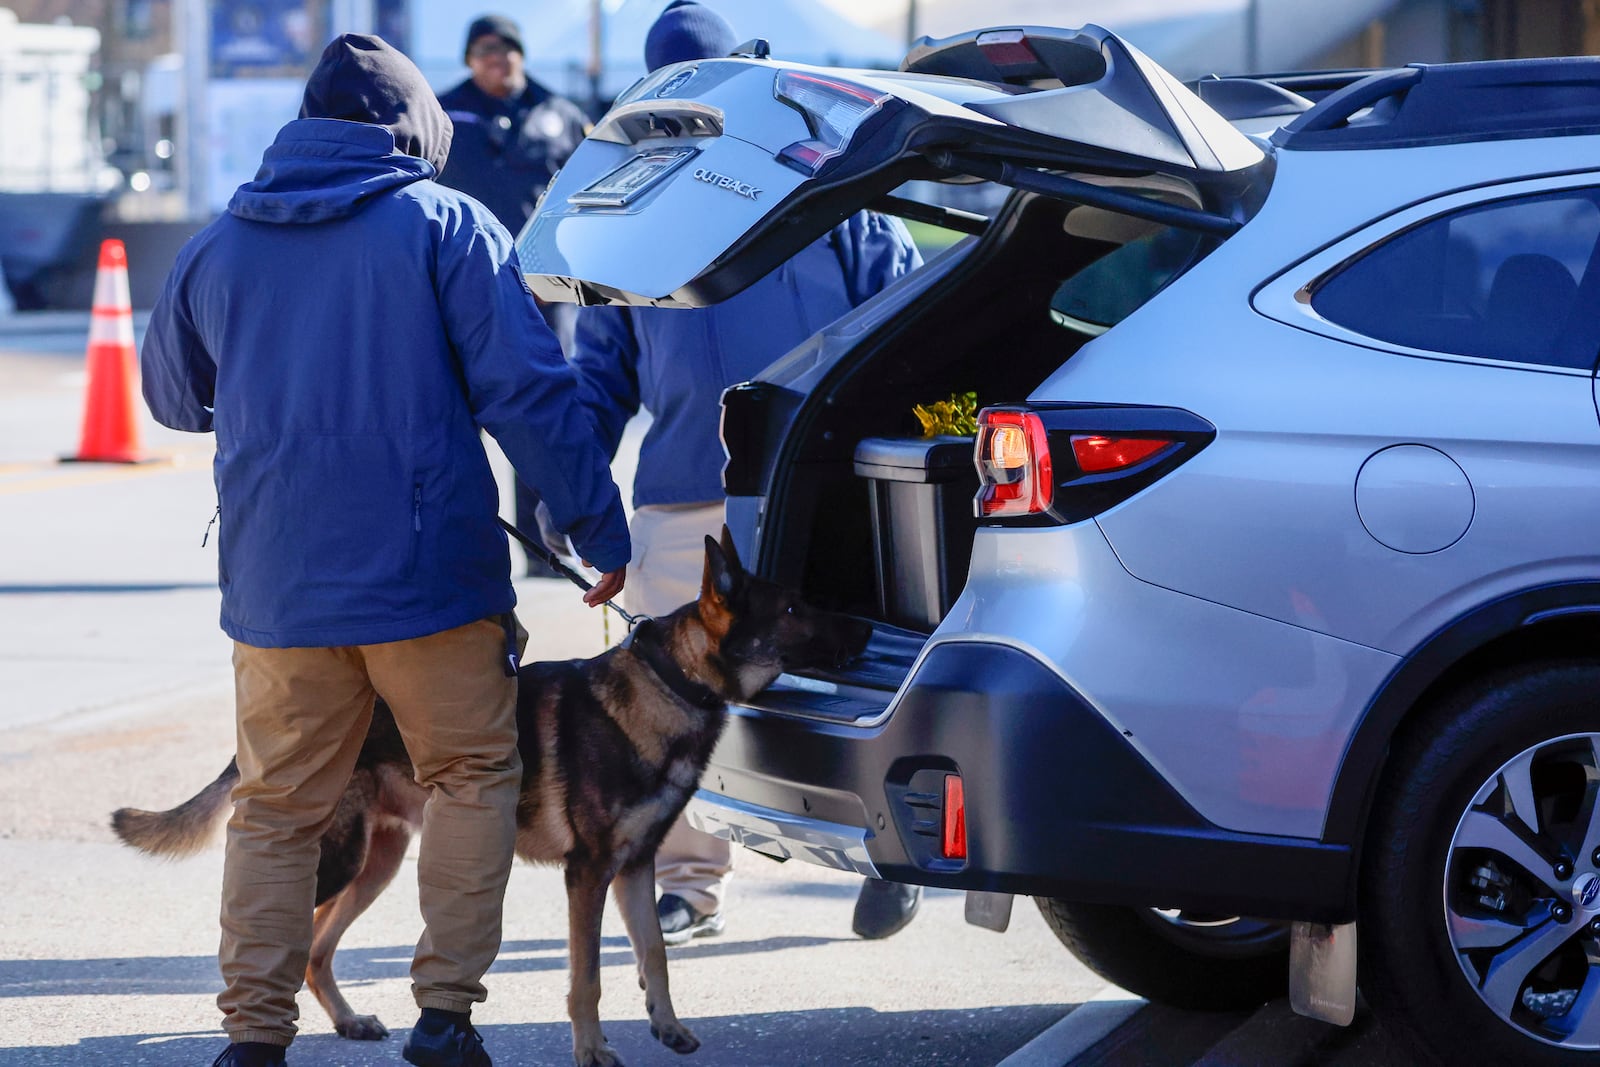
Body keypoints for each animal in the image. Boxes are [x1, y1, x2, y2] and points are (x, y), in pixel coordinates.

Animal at [111, 531, 870, 1062]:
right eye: (795, 607)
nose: (866, 627)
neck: (670, 681)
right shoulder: (589, 874)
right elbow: (587, 975)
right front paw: (592, 1050)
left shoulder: (635, 868)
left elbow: (653, 954)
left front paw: (669, 1025)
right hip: (339, 858)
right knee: (285, 938)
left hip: (380, 863)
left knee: (315, 949)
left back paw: (348, 1021)